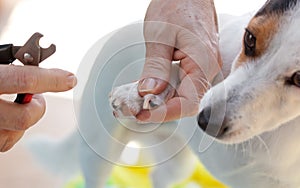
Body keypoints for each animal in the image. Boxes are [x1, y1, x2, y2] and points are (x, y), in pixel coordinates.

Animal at [25, 0, 300, 188]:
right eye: (250, 38)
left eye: (299, 78)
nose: (205, 121)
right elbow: (184, 69)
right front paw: (139, 94)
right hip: (99, 151)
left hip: (178, 163)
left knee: (159, 176)